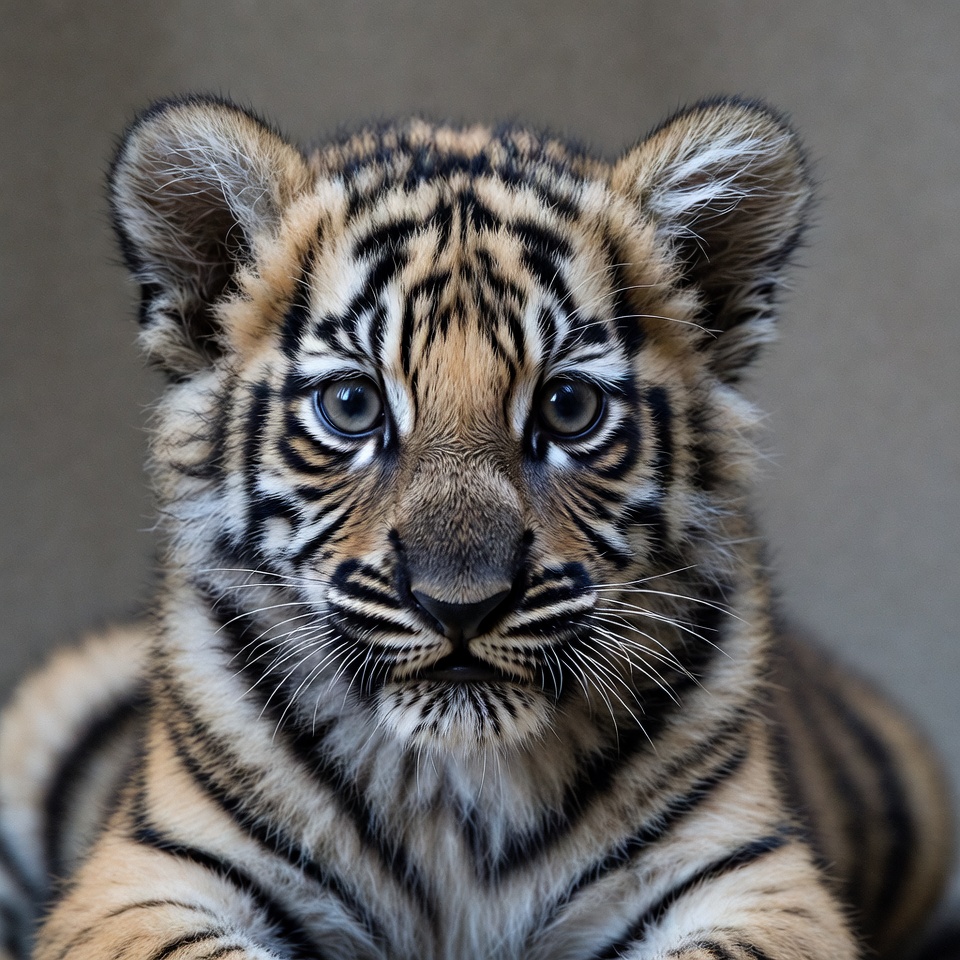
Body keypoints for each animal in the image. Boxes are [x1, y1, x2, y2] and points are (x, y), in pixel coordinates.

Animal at [0, 94, 954, 960]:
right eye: (354, 405)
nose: (461, 605)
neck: (452, 794)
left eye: (567, 407)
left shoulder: (759, 883)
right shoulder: (143, 877)